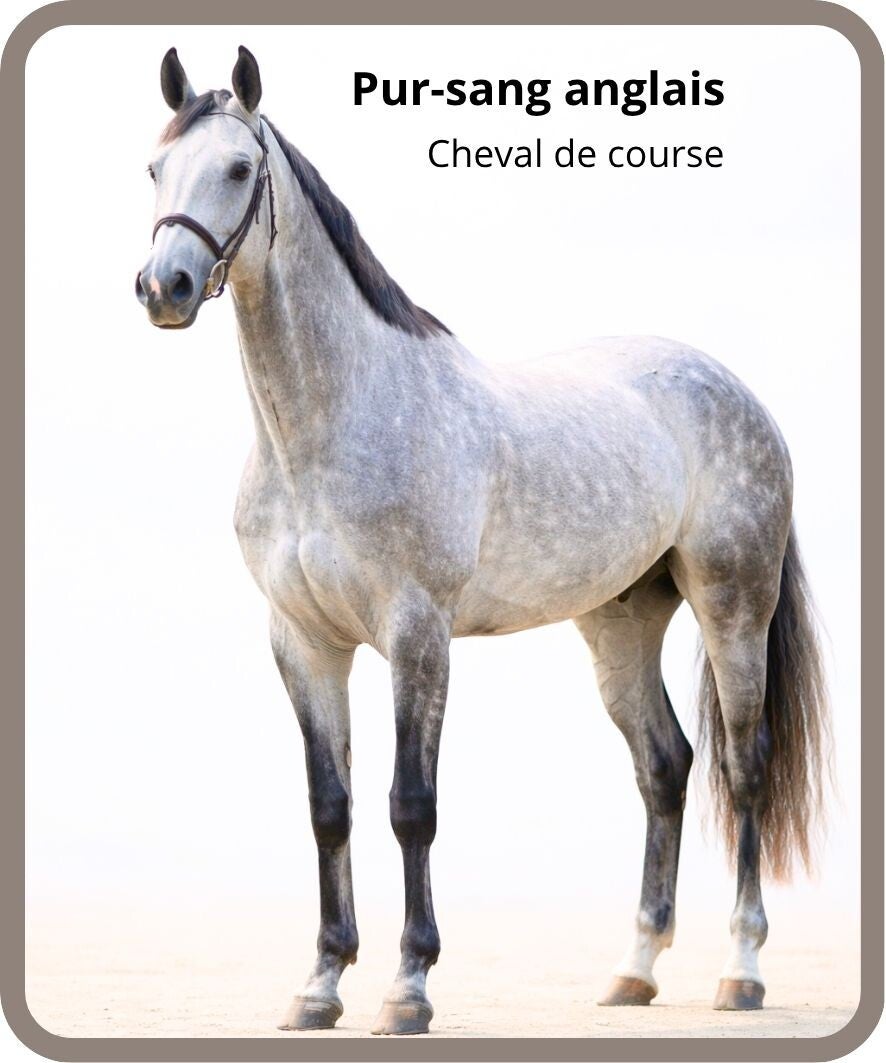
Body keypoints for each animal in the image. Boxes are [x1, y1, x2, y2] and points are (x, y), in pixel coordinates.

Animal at [135, 46, 830, 1036]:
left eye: (237, 168)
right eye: (155, 169)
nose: (166, 289)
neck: (333, 424)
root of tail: (736, 389)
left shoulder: (416, 634)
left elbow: (409, 805)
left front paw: (408, 986)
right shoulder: (303, 642)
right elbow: (330, 807)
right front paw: (319, 985)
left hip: (734, 605)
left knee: (743, 766)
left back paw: (740, 971)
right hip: (620, 622)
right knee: (665, 767)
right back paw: (633, 970)